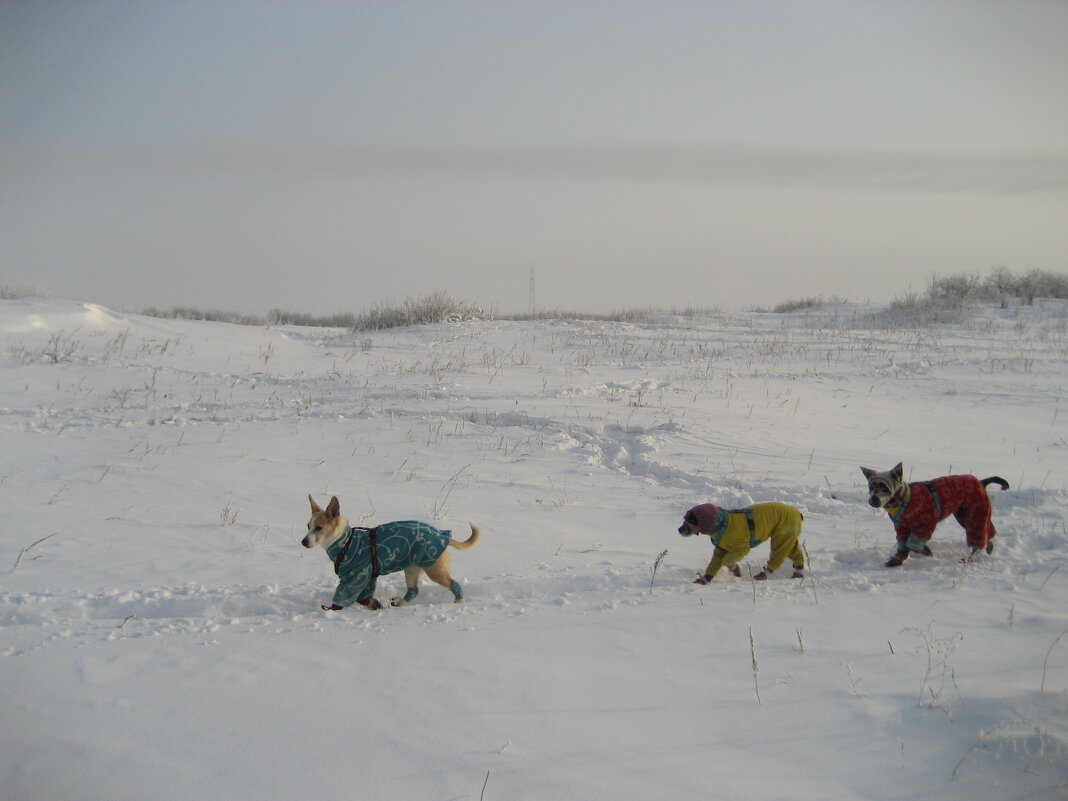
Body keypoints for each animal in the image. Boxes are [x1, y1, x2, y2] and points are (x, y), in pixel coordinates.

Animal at [303, 495, 482, 606]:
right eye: (308, 526)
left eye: (319, 528)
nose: (303, 542)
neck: (346, 541)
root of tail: (442, 535)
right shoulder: (367, 577)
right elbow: (364, 597)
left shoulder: (356, 577)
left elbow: (344, 595)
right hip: (411, 569)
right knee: (413, 591)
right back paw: (400, 603)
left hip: (434, 569)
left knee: (454, 584)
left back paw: (459, 603)